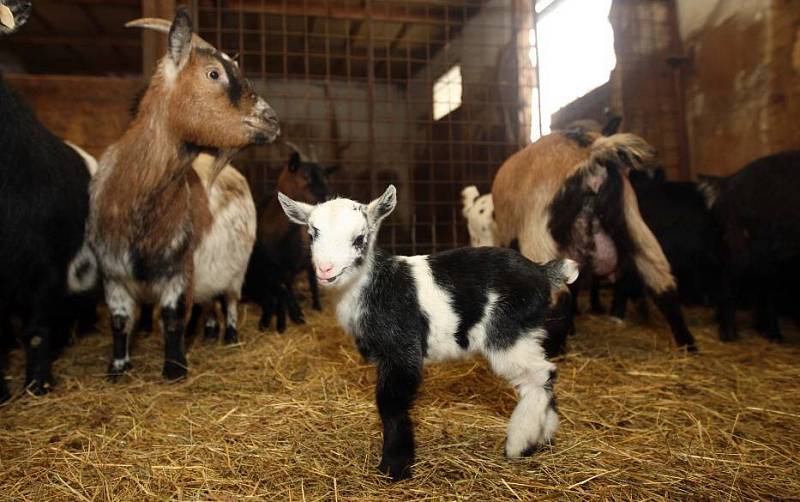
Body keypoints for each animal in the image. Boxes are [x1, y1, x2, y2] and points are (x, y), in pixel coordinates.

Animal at [88, 7, 280, 378]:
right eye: (214, 73)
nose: (271, 120)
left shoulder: (180, 268)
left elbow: (173, 316)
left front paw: (175, 369)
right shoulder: (112, 273)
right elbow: (119, 320)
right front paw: (118, 368)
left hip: (237, 270)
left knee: (228, 300)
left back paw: (230, 337)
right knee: (208, 303)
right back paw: (207, 333)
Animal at [278, 186, 580, 480]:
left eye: (359, 238)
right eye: (312, 234)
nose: (325, 269)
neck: (371, 286)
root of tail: (541, 272)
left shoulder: (402, 348)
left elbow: (391, 404)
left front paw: (395, 467)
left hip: (507, 330)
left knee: (538, 376)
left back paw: (519, 443)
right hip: (526, 331)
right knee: (546, 375)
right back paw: (545, 435)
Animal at [490, 129, 696, 352]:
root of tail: (590, 152)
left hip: (538, 231)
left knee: (559, 296)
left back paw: (553, 350)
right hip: (632, 222)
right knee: (662, 283)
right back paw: (688, 345)